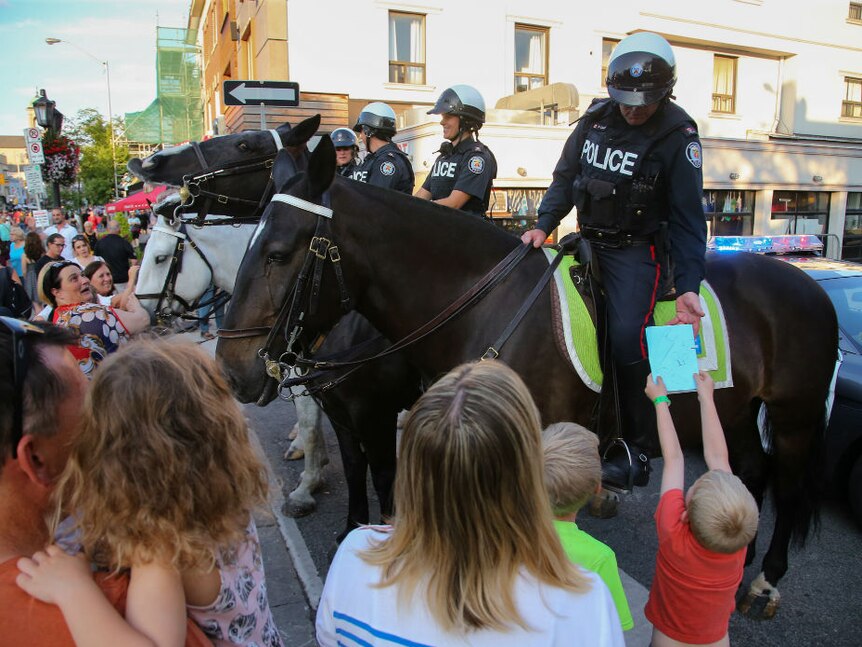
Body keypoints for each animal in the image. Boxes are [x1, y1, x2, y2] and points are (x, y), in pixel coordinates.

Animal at [218, 138, 844, 616]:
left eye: (277, 253)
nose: (232, 369)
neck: (482, 303)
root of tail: (809, 281)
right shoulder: (359, 420)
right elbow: (363, 483)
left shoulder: (393, 421)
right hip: (737, 412)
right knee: (753, 471)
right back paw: (739, 561)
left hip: (795, 416)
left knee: (788, 486)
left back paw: (765, 579)